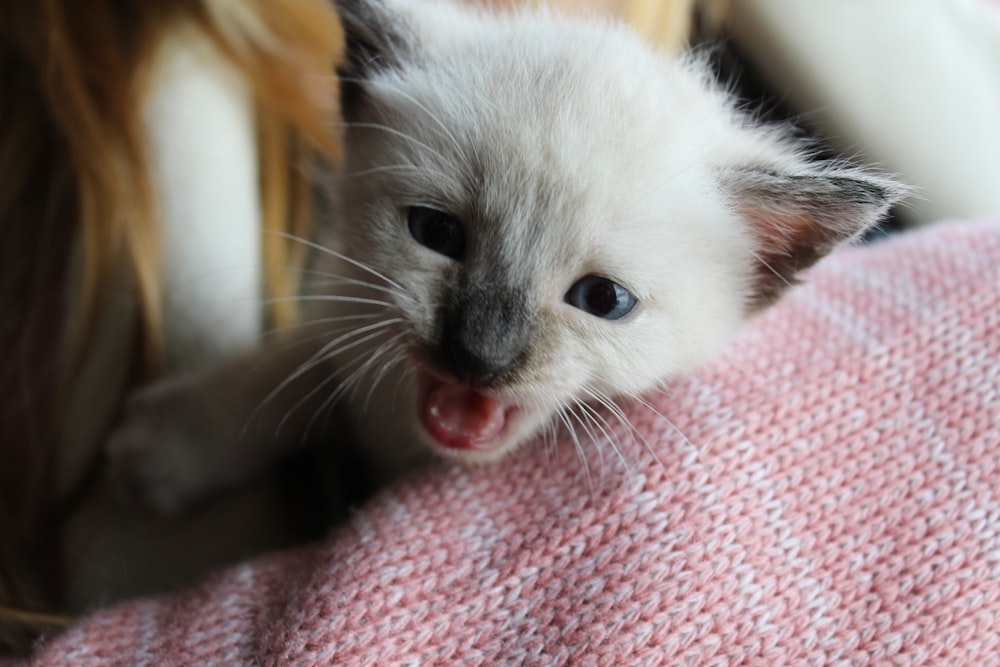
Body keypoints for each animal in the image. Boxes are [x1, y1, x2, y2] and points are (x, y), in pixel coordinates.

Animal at [109, 0, 908, 516]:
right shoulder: (346, 307)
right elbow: (286, 371)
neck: (409, 448)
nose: (476, 354)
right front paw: (169, 445)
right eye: (436, 233)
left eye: (603, 300)